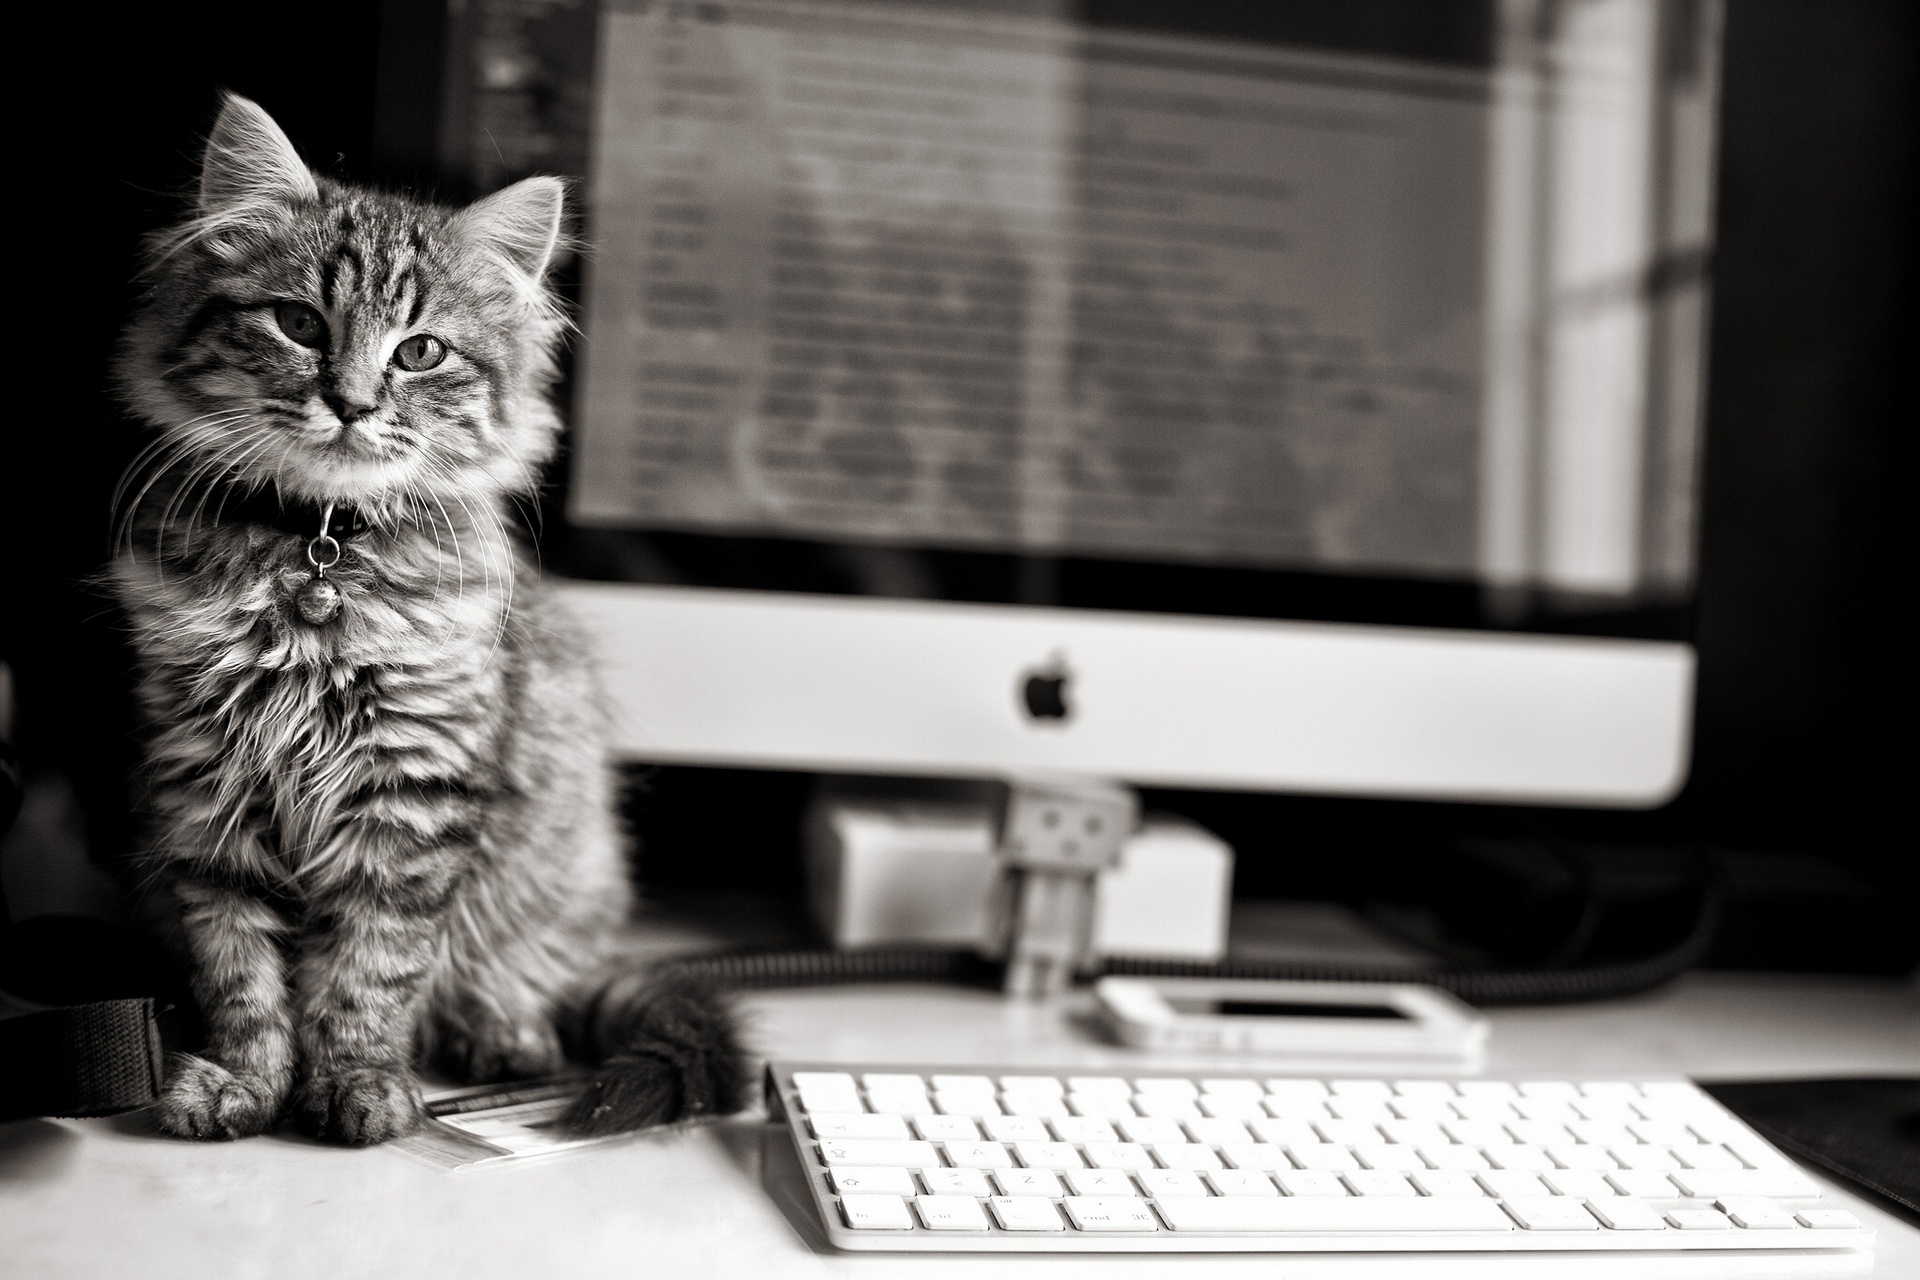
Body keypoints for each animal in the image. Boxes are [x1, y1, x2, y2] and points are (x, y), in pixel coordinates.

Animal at [108, 94, 744, 1143]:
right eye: (298, 323)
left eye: (420, 353)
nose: (351, 403)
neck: (320, 555)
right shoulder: (204, 786)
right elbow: (239, 969)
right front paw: (244, 1082)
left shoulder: (411, 786)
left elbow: (369, 971)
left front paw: (358, 1083)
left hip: (567, 870)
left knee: (520, 970)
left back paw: (500, 1031)